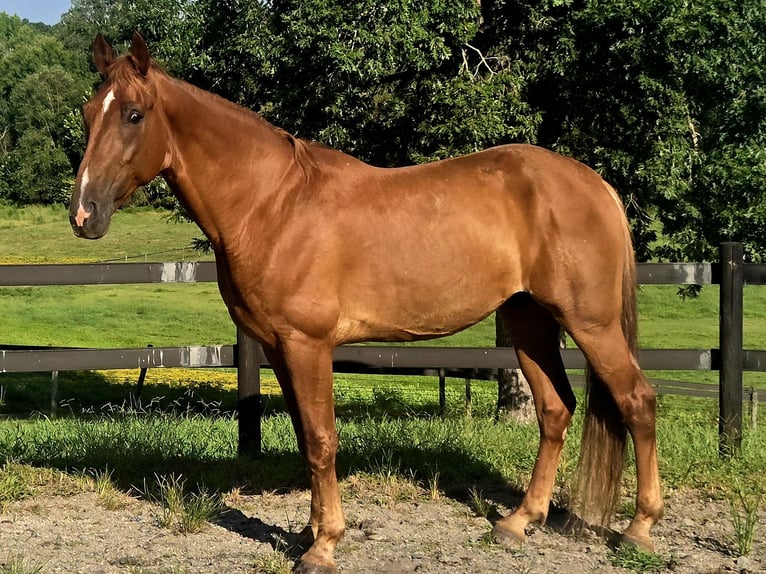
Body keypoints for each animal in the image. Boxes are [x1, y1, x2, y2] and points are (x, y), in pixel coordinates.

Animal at [69, 33, 662, 574]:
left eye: (134, 115)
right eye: (87, 112)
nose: (83, 214)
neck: (272, 203)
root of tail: (594, 183)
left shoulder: (308, 344)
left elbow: (321, 439)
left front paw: (324, 546)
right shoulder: (278, 348)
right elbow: (306, 438)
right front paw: (310, 532)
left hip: (591, 324)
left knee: (637, 402)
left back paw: (638, 530)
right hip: (528, 320)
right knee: (555, 409)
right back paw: (518, 522)